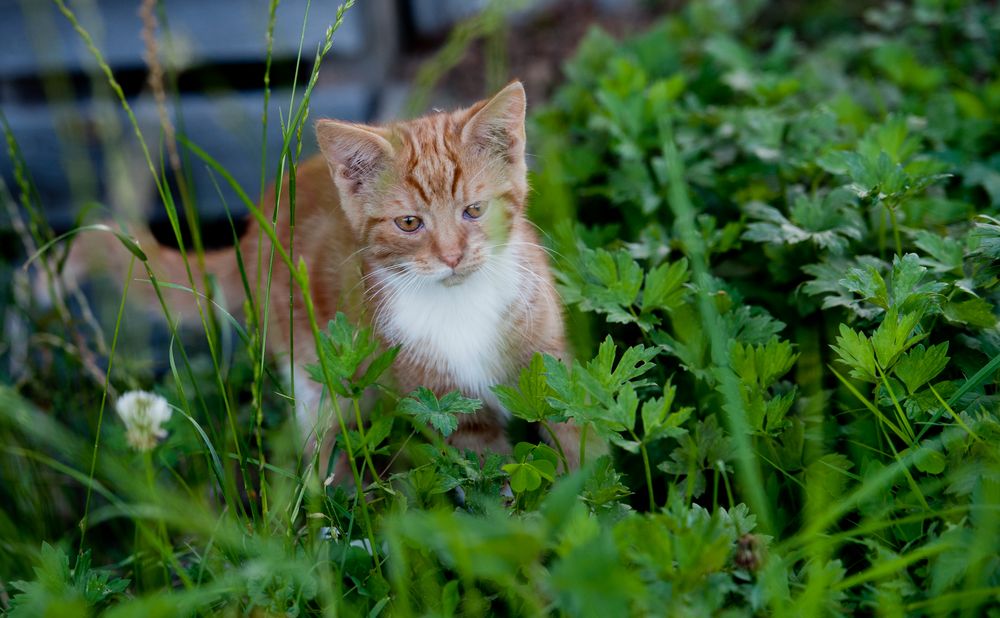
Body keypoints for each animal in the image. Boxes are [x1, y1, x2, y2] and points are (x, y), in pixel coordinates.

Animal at [78, 80, 580, 466]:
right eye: (409, 223)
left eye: (475, 210)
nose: (453, 256)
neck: (461, 303)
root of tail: (256, 224)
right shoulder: (445, 405)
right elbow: (489, 480)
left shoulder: (549, 368)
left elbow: (576, 438)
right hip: (309, 368)